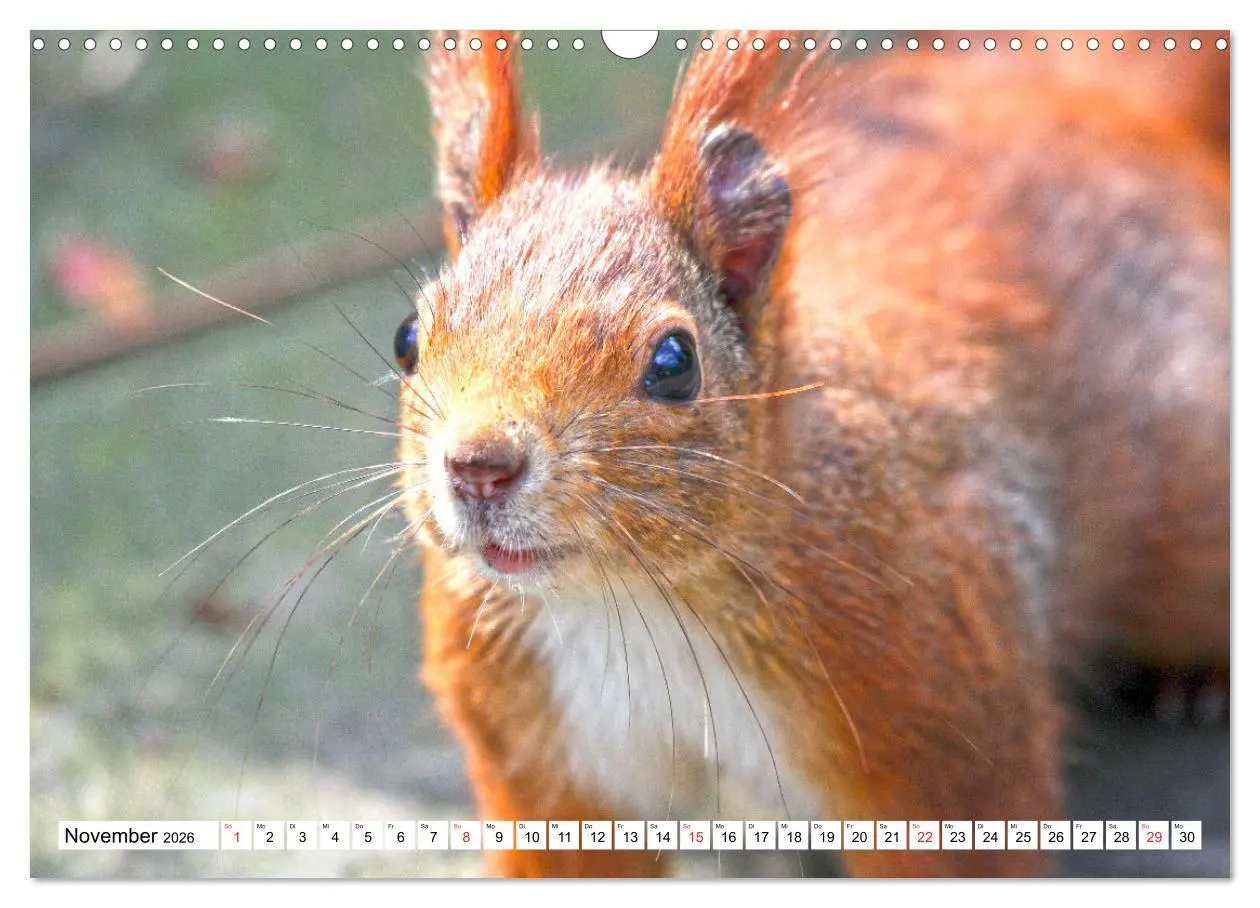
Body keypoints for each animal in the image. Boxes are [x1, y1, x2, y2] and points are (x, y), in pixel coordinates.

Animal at [390, 31, 1229, 876]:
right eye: (407, 338)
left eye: (674, 363)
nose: (479, 467)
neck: (630, 598)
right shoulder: (539, 755)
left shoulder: (940, 713)